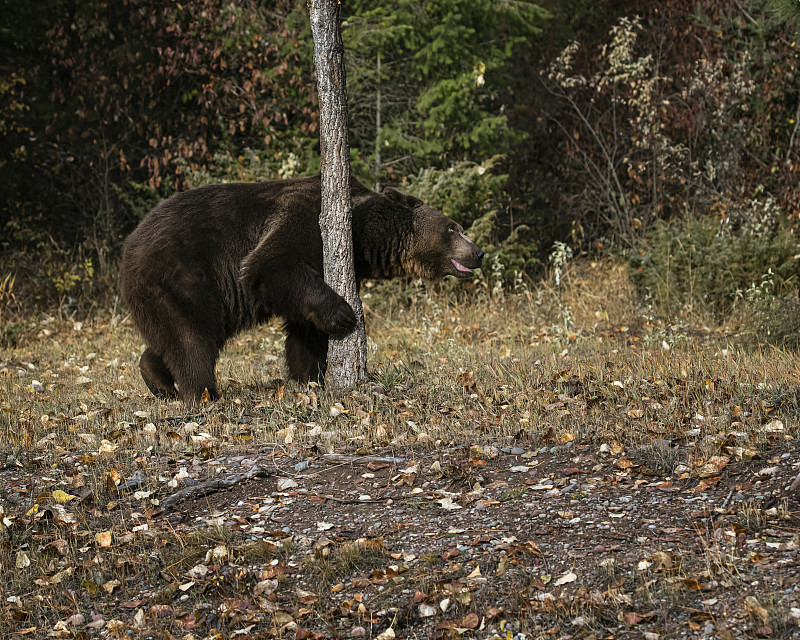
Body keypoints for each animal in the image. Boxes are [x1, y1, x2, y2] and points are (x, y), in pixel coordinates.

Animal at [118, 172, 482, 402]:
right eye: (453, 228)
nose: (478, 252)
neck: (363, 235)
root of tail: (127, 248)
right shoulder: (305, 218)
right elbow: (270, 264)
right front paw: (344, 315)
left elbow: (304, 330)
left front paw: (310, 377)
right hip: (182, 274)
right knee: (194, 340)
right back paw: (203, 393)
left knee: (178, 335)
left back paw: (159, 381)